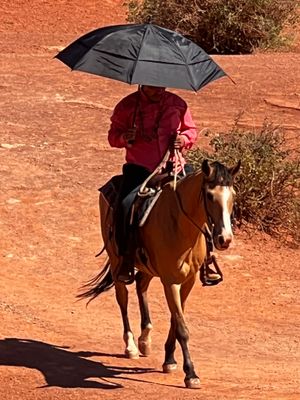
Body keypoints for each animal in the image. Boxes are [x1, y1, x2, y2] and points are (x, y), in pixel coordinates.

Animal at [78, 159, 240, 388]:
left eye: (232, 195)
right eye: (209, 195)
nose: (224, 239)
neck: (180, 226)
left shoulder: (188, 280)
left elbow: (175, 319)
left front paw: (170, 360)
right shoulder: (170, 281)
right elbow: (181, 327)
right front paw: (191, 373)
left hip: (148, 268)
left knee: (140, 284)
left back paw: (145, 338)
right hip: (117, 262)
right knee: (123, 298)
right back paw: (131, 346)